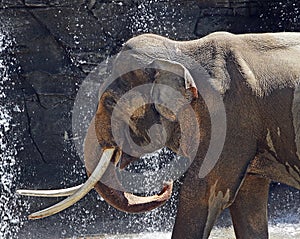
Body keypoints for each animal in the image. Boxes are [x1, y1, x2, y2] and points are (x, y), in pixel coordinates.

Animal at [18, 32, 300, 239]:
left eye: (109, 102)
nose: (165, 184)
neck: (182, 50)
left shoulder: (229, 119)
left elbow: (202, 193)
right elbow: (247, 201)